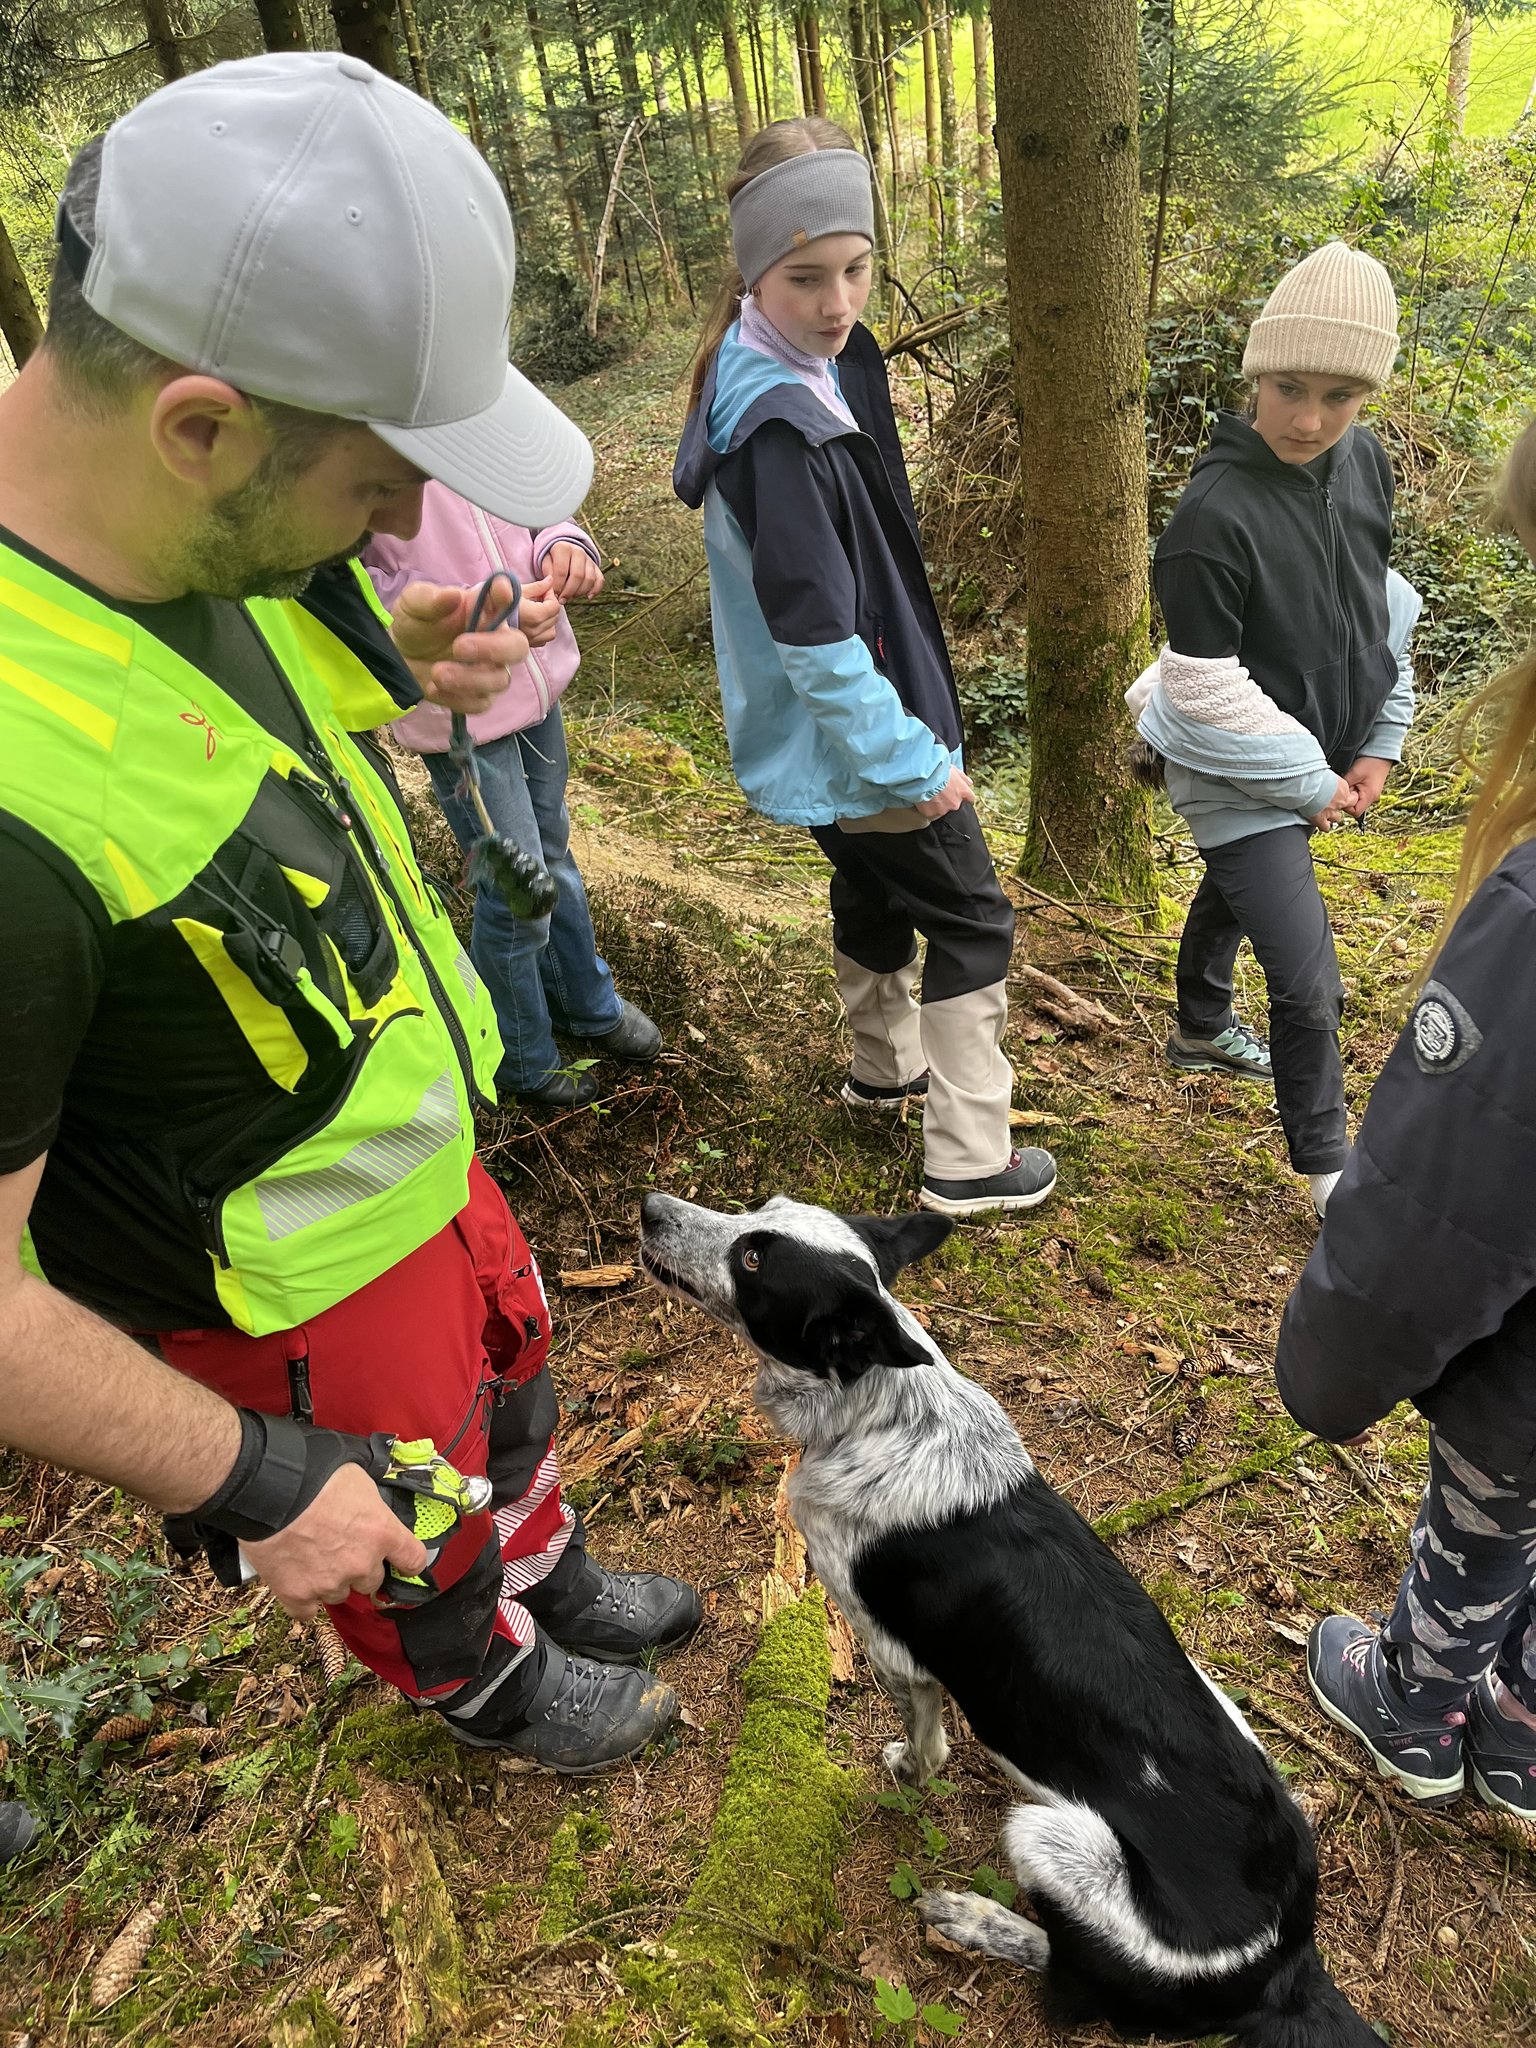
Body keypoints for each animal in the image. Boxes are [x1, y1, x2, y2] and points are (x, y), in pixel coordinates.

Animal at [639, 1191, 1378, 2047]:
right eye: (760, 1211)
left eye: (753, 1259)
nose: (651, 1207)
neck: (880, 1417)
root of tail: (1288, 1962)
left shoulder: (893, 1652)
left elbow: (925, 1748)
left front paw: (909, 1770)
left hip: (1055, 1841)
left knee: (1069, 1984)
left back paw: (974, 1918)